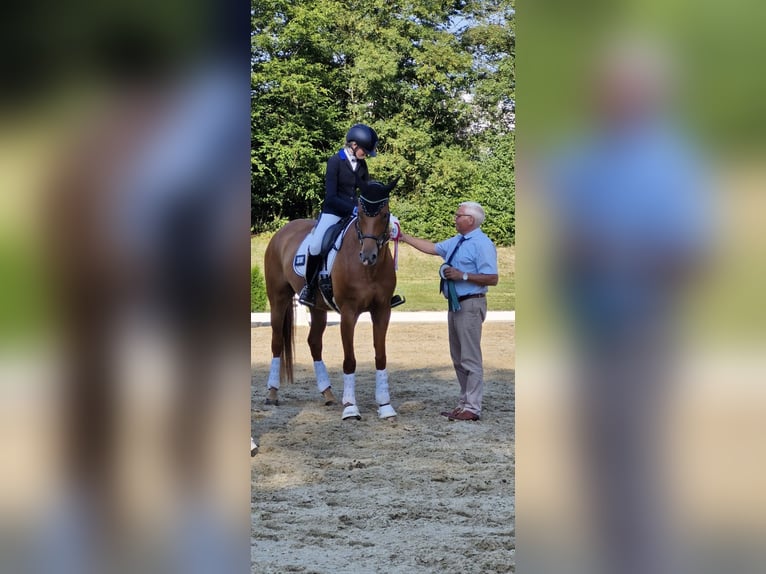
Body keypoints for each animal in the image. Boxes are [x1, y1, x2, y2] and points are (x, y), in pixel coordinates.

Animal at [262, 178, 400, 420]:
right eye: (360, 215)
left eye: (384, 215)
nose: (368, 256)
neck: (368, 270)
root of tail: (282, 232)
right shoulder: (348, 312)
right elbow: (350, 360)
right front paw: (351, 408)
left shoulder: (382, 310)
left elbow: (381, 356)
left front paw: (385, 406)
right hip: (278, 299)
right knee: (277, 342)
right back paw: (272, 393)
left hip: (317, 308)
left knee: (314, 343)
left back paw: (327, 394)